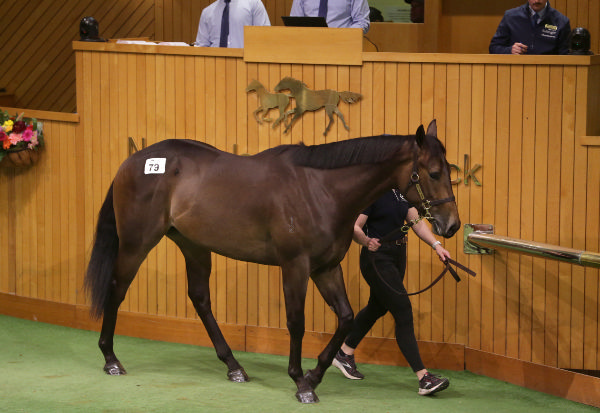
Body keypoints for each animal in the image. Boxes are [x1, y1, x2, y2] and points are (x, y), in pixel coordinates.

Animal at [84, 119, 460, 402]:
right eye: (433, 172)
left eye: (449, 170)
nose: (452, 225)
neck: (320, 189)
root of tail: (133, 162)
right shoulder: (295, 266)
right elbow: (296, 322)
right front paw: (300, 382)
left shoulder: (325, 268)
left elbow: (346, 318)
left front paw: (315, 374)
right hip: (137, 243)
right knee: (116, 290)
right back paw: (110, 358)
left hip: (194, 246)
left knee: (201, 300)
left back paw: (234, 366)